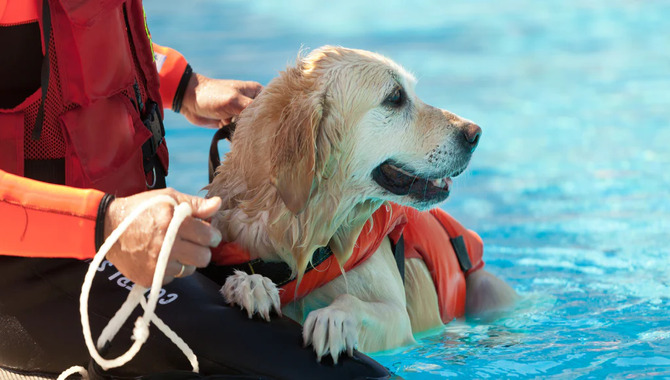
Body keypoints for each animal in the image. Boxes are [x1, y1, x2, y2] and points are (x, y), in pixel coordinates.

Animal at [207, 45, 516, 362]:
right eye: (395, 97)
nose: (475, 134)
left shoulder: (399, 319)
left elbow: (356, 302)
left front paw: (335, 319)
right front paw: (250, 284)